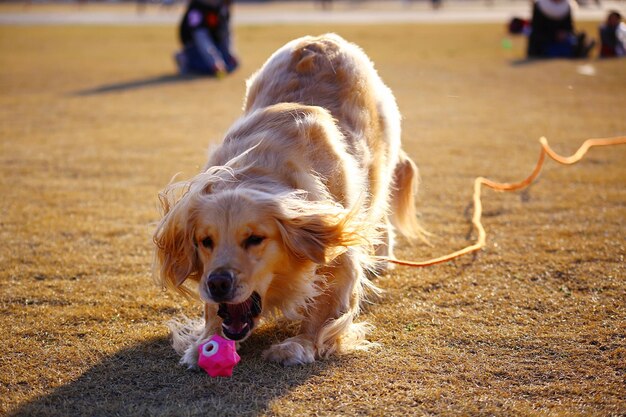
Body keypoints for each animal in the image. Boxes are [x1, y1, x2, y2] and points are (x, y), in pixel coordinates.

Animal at [154, 33, 422, 364]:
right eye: (206, 241)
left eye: (255, 239)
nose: (217, 283)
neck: (258, 167)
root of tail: (323, 38)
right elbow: (213, 312)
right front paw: (207, 339)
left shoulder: (337, 240)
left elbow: (329, 305)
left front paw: (301, 343)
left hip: (379, 166)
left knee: (379, 210)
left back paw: (383, 257)